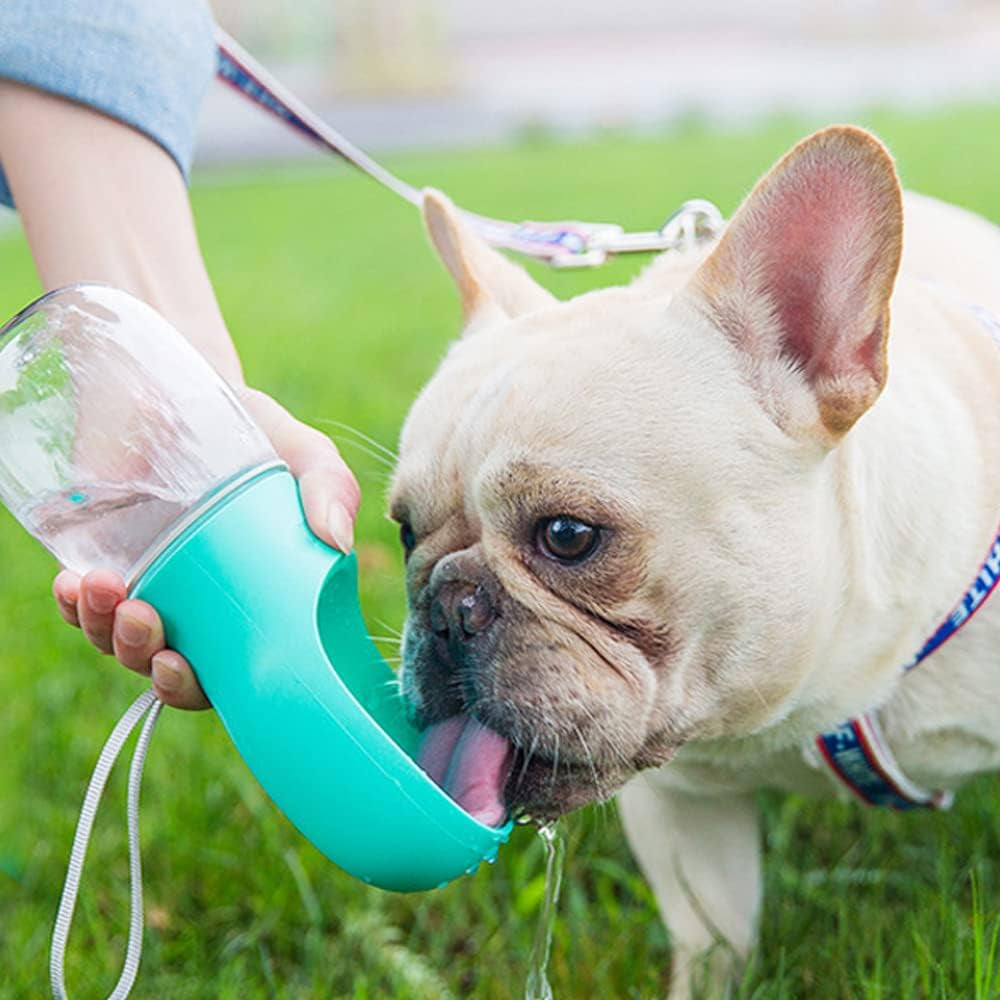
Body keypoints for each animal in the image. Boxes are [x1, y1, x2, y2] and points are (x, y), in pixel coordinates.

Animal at [388, 129, 1000, 996]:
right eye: (406, 532)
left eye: (568, 536)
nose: (446, 605)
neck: (808, 702)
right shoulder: (684, 815)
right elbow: (715, 939)